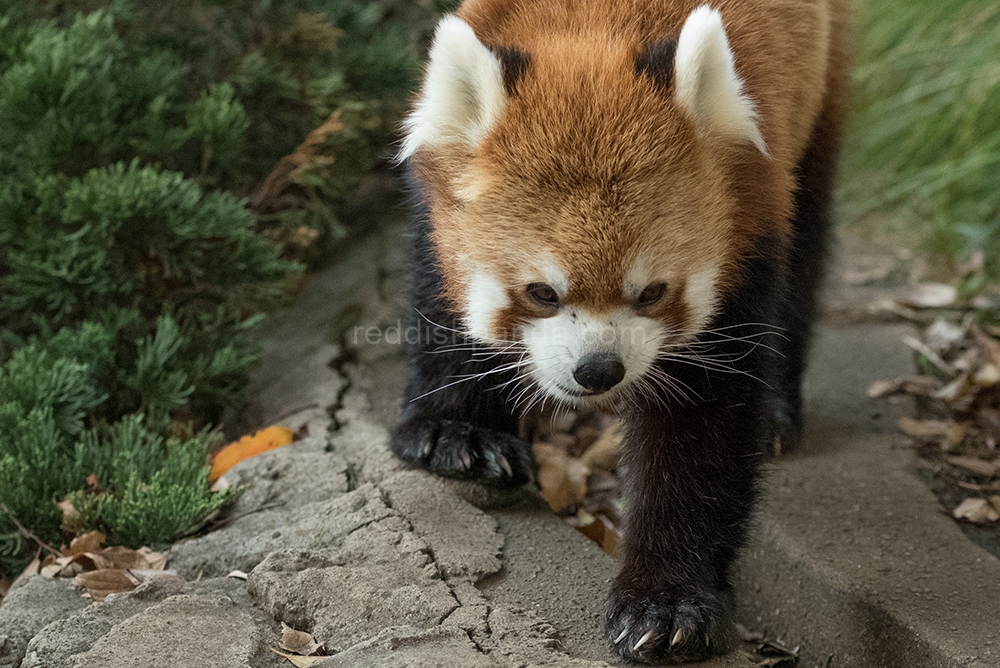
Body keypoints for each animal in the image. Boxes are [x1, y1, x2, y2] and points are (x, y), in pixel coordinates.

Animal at [392, 1, 852, 664]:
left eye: (652, 292)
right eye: (543, 293)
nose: (598, 370)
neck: (592, 30)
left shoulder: (748, 216)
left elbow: (701, 430)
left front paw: (667, 602)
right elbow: (442, 301)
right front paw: (456, 432)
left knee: (806, 249)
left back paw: (779, 410)